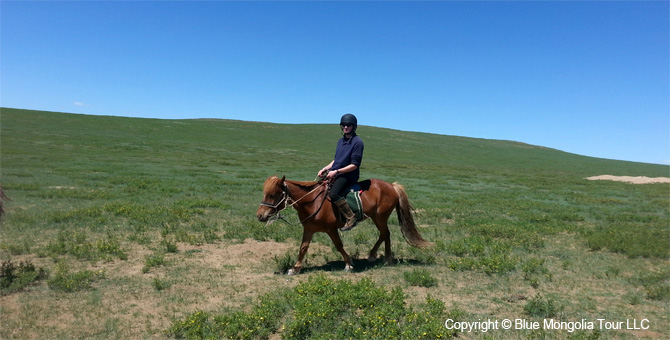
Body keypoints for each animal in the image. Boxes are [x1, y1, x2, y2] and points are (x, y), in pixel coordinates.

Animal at [255, 177, 434, 274]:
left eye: (273, 194)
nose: (260, 215)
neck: (312, 201)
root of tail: (392, 186)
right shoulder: (309, 229)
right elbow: (303, 247)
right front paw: (295, 268)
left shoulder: (331, 229)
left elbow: (339, 246)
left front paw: (349, 264)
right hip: (377, 217)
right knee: (384, 234)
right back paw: (376, 256)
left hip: (380, 217)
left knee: (386, 233)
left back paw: (386, 259)